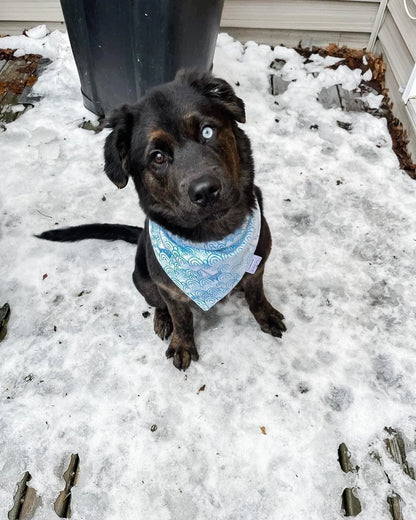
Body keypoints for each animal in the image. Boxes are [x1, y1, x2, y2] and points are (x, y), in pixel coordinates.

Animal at [37, 70, 286, 370]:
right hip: (143, 279)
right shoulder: (170, 289)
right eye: (157, 157)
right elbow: (182, 317)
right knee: (158, 303)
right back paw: (162, 318)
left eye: (207, 131)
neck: (212, 239)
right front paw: (182, 343)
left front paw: (266, 314)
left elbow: (257, 295)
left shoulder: (257, 267)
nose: (205, 191)